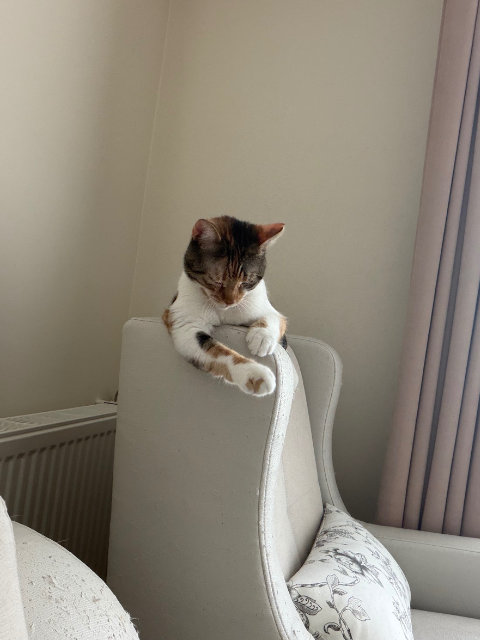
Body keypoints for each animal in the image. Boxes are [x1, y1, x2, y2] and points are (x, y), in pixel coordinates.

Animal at [162, 216, 287, 397]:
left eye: (246, 282)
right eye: (216, 281)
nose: (230, 301)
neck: (223, 312)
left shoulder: (264, 306)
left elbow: (274, 317)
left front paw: (262, 338)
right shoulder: (184, 322)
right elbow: (217, 351)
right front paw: (254, 373)